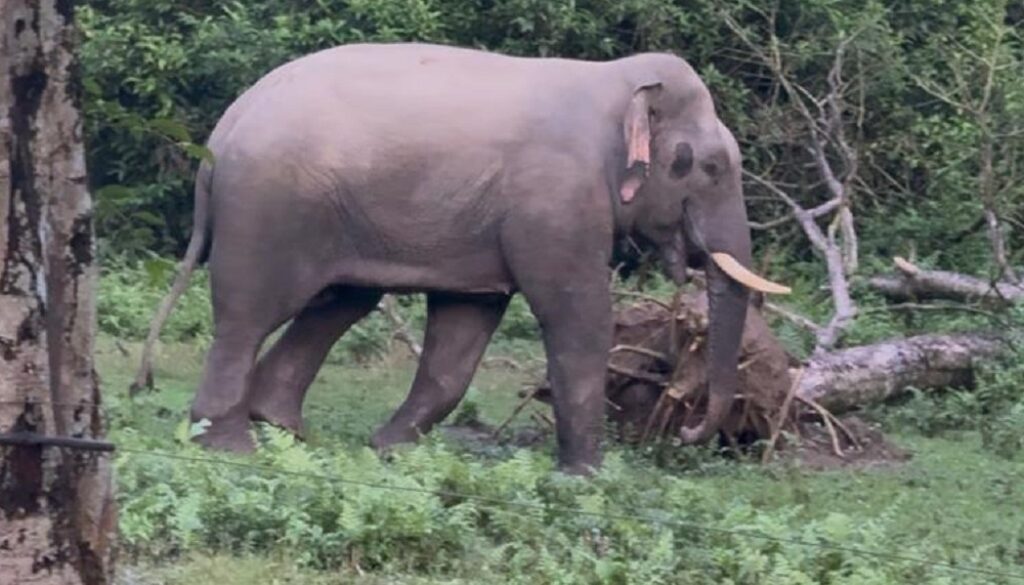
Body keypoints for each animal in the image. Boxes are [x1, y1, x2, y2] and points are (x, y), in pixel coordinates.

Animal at [135, 42, 789, 474]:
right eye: (710, 166)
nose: (687, 431)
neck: (616, 84)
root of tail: (221, 133)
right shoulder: (556, 201)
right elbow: (576, 317)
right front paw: (586, 478)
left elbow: (464, 330)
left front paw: (390, 450)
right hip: (272, 209)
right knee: (250, 313)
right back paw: (230, 446)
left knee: (341, 301)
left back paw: (283, 429)